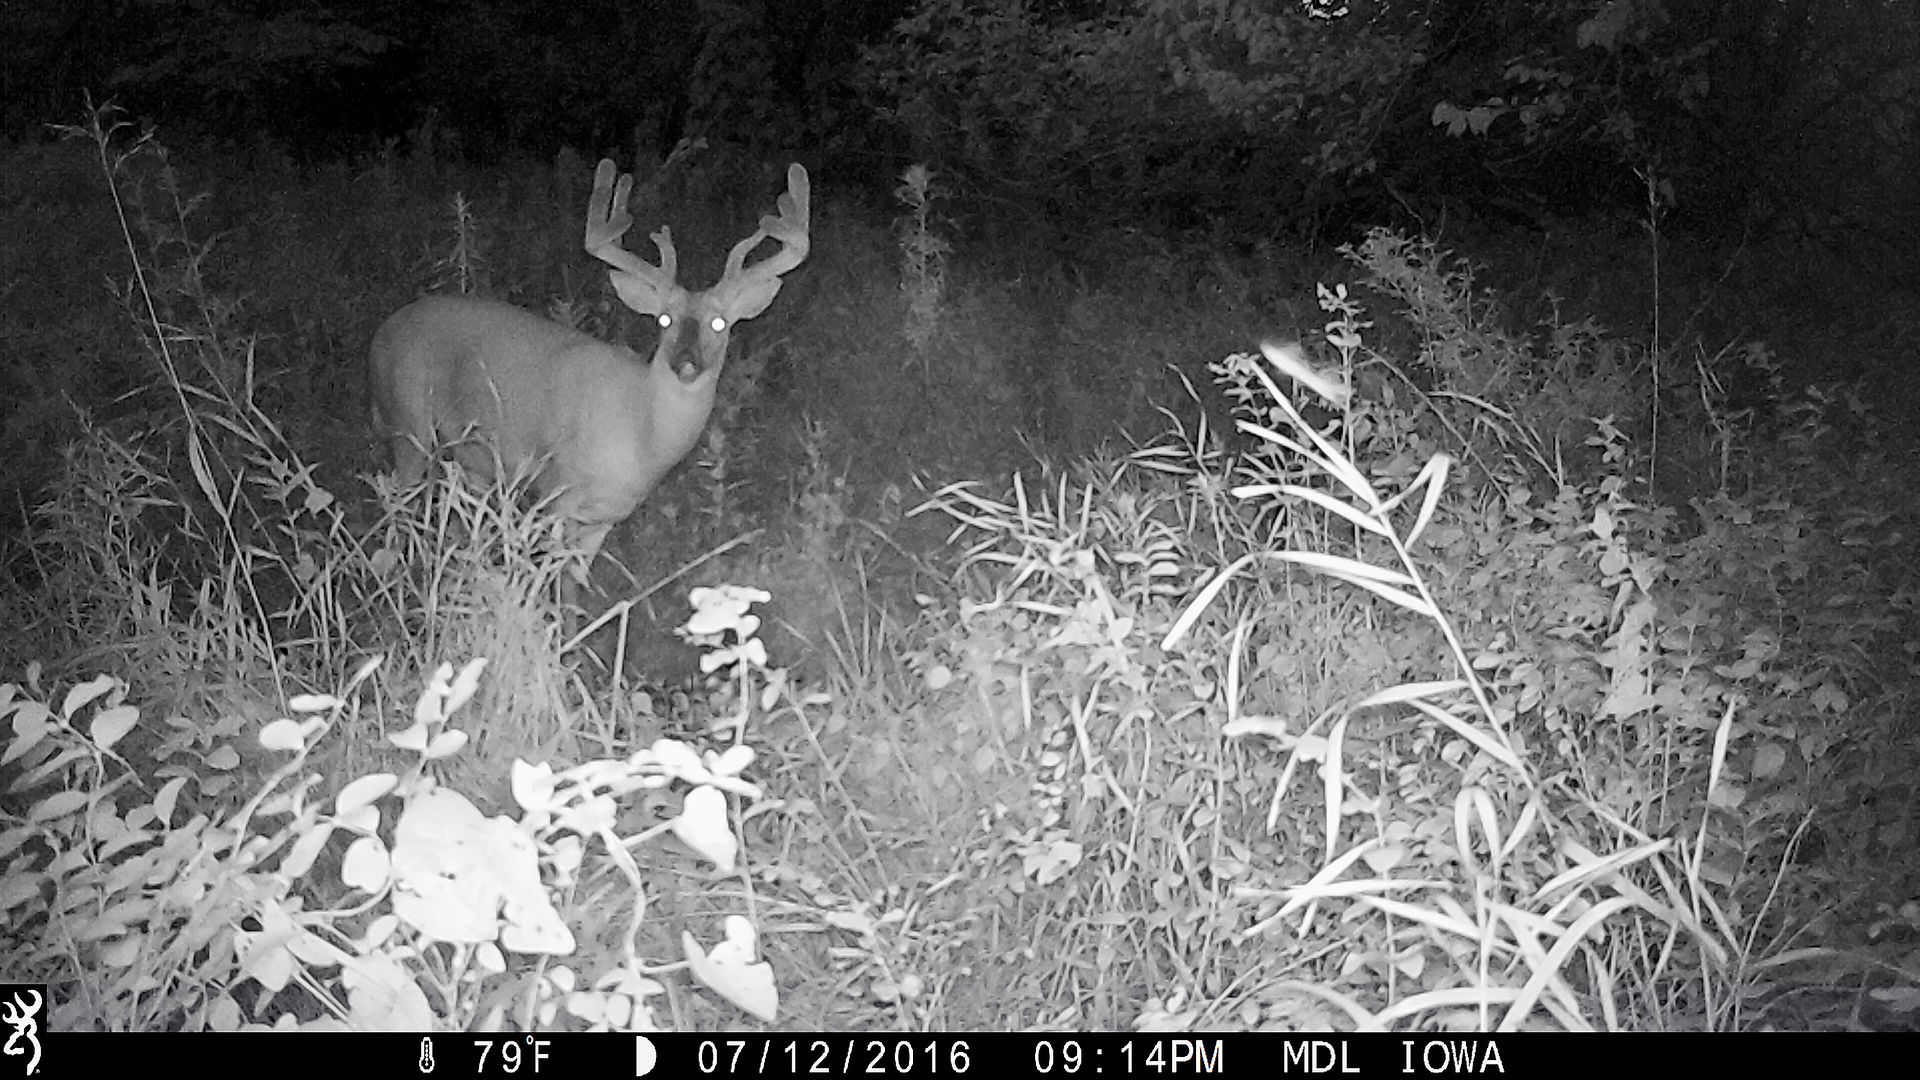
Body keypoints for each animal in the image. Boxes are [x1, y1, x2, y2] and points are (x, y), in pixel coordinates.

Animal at [369, 159, 810, 594]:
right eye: (664, 319)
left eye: (720, 323)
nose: (686, 361)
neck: (641, 434)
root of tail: (382, 332)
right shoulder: (555, 489)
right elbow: (554, 586)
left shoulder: (604, 518)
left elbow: (576, 585)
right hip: (408, 423)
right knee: (396, 506)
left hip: (470, 458)